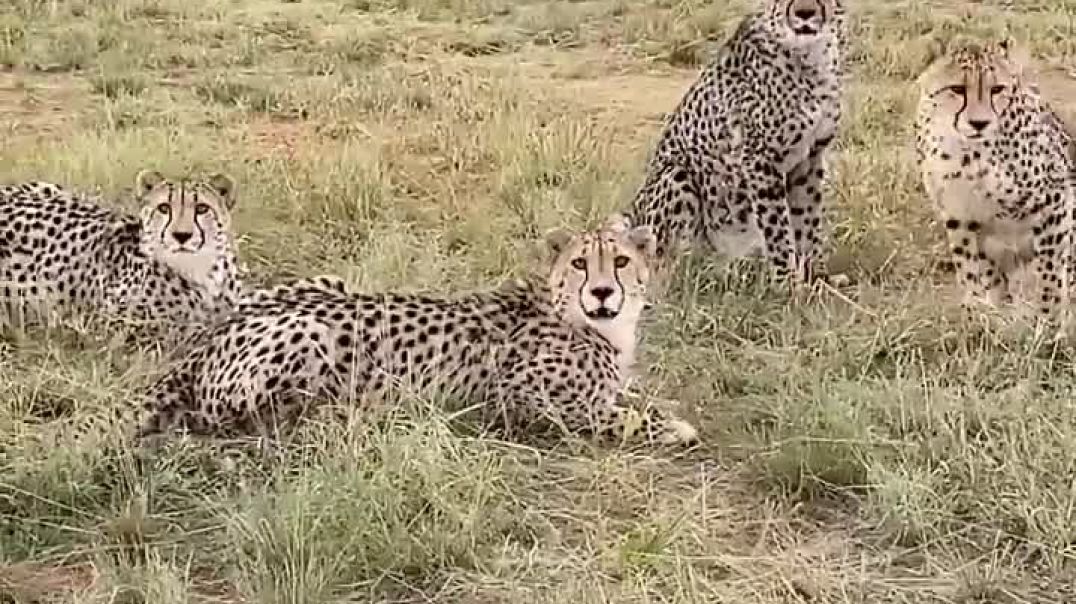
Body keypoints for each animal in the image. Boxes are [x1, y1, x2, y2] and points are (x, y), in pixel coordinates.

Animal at [133, 215, 700, 449]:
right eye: (581, 263)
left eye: (621, 262)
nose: (602, 292)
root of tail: (214, 333)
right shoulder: (525, 399)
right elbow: (622, 416)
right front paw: (675, 427)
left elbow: (635, 397)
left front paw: (665, 408)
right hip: (313, 333)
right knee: (244, 418)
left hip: (331, 284)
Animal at [627, 0, 846, 292]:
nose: (804, 13)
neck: (809, 54)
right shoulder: (760, 161)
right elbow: (778, 229)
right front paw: (788, 285)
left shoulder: (810, 158)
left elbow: (807, 223)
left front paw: (817, 278)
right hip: (677, 174)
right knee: (670, 269)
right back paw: (719, 272)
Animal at [915, 36, 1076, 315]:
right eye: (957, 89)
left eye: (997, 89)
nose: (979, 123)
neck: (971, 154)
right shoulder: (958, 214)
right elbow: (969, 270)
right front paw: (977, 314)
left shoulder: (1056, 204)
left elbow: (1051, 275)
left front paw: (1049, 319)